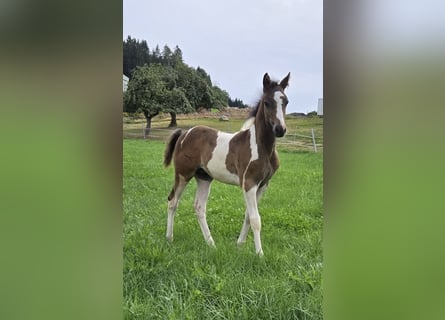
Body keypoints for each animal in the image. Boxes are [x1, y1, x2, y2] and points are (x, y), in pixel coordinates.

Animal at [161, 72, 290, 255]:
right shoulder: (249, 183)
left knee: (199, 207)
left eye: (286, 102)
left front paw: (240, 244)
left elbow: (248, 216)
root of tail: (185, 133)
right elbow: (255, 219)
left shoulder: (262, 185)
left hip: (204, 177)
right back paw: (169, 238)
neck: (262, 148)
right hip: (183, 174)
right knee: (172, 202)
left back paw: (211, 244)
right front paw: (259, 254)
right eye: (267, 102)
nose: (280, 130)